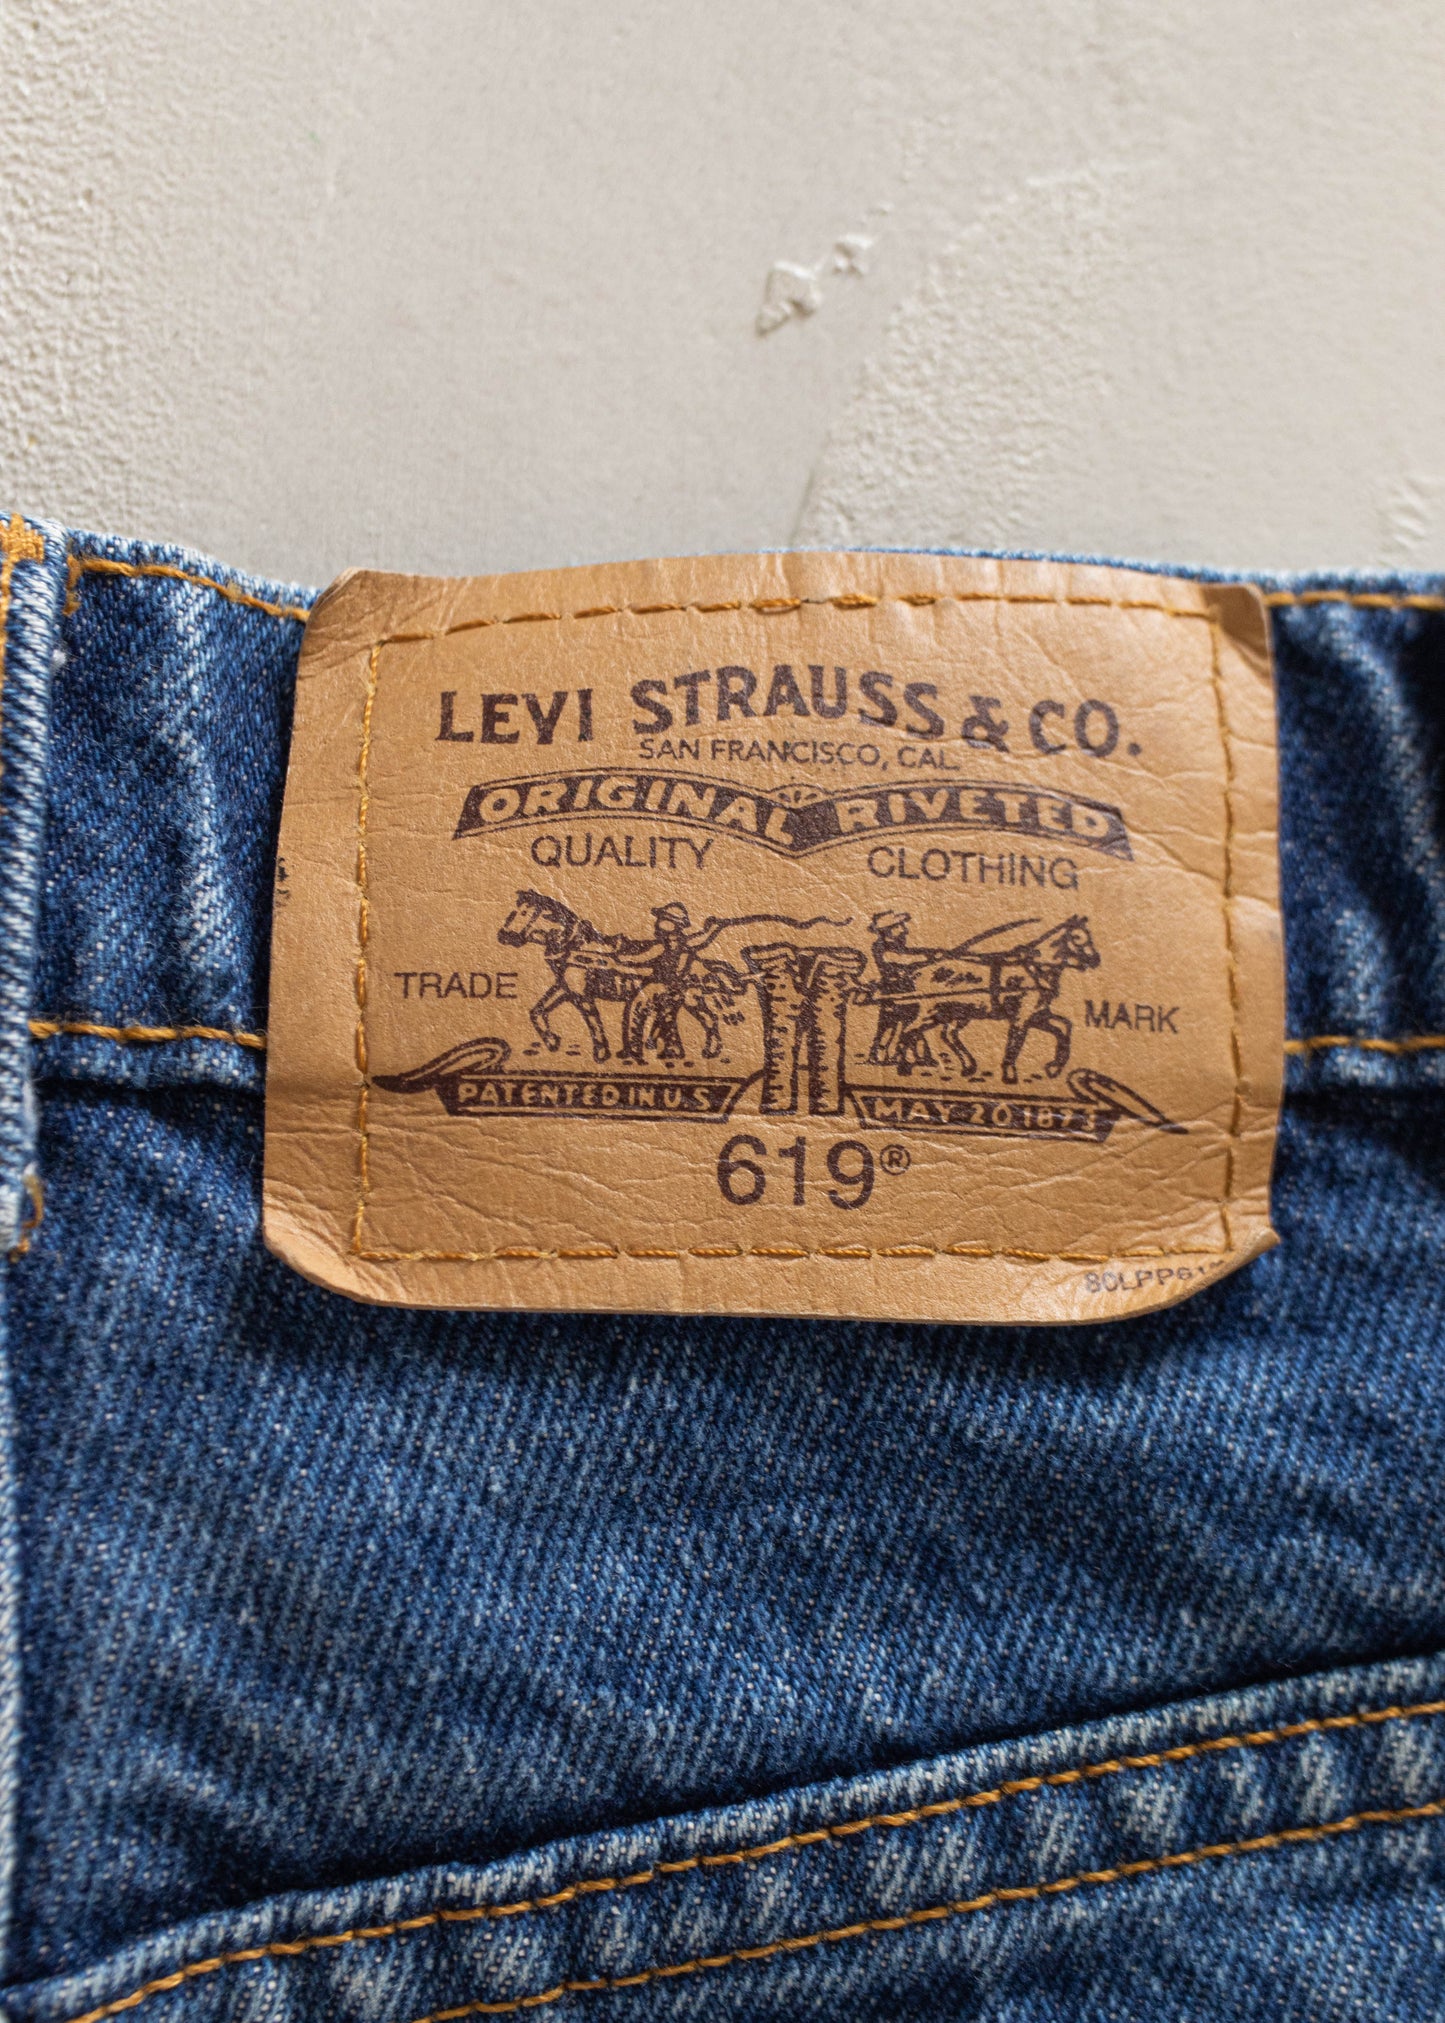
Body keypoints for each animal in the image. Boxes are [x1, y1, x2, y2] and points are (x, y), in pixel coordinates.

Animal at [497, 889, 745, 1063]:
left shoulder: (582, 995)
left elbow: (594, 1022)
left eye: (524, 912)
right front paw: (552, 1040)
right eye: (515, 910)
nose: (503, 936)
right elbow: (537, 1011)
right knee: (707, 1019)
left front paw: (601, 1054)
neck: (575, 946)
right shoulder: (566, 989)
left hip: (690, 998)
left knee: (708, 1018)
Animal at [873, 915, 1100, 1085]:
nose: (1095, 960)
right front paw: (1009, 1074)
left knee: (946, 1034)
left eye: (1088, 935)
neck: (1034, 969)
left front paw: (1053, 1068)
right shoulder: (1021, 1016)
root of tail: (917, 973)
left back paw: (968, 1066)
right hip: (930, 1012)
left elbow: (1064, 1027)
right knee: (909, 1032)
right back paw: (904, 1066)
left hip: (956, 1013)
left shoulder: (1037, 1014)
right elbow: (1015, 1042)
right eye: (1078, 938)